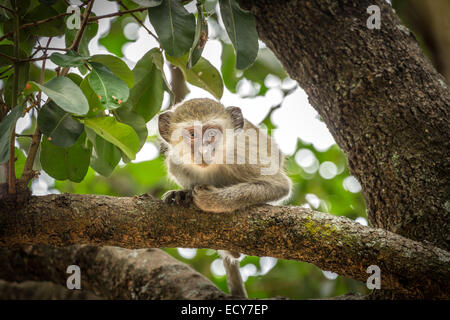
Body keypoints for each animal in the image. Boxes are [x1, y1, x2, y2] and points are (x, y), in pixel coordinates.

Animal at [158, 97, 292, 298]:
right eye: (193, 135)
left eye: (212, 134)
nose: (204, 151)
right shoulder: (176, 163)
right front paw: (183, 193)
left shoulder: (242, 157)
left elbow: (279, 185)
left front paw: (210, 200)